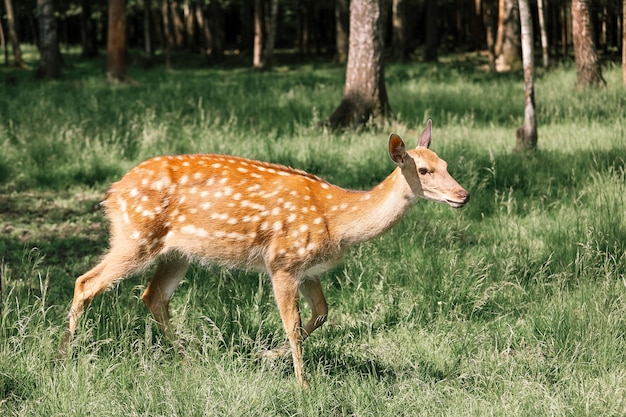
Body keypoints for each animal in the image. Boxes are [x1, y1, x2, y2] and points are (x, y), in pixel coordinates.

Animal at [58, 118, 468, 386]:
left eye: (447, 165)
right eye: (425, 170)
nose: (462, 194)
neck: (337, 222)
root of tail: (112, 193)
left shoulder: (310, 269)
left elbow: (321, 315)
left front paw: (267, 356)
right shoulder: (282, 261)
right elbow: (294, 325)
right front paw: (304, 387)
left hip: (177, 254)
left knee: (152, 295)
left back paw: (187, 362)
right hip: (135, 237)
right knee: (85, 282)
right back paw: (63, 356)